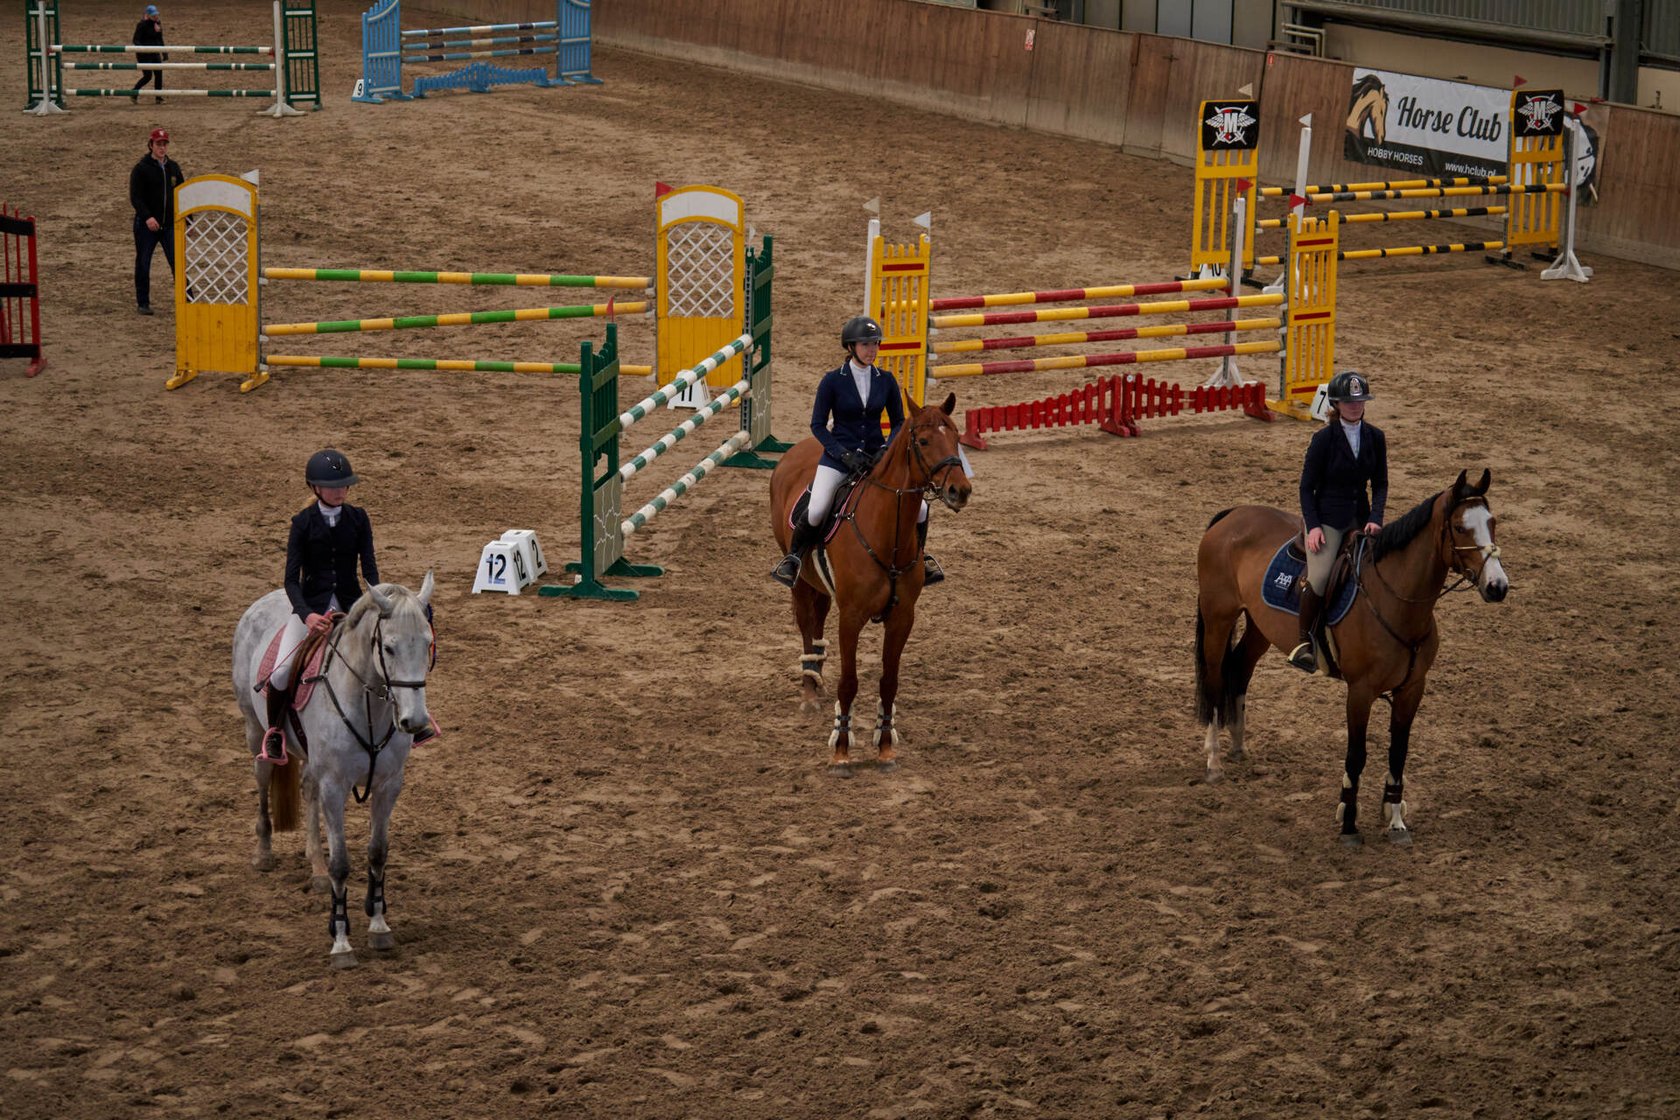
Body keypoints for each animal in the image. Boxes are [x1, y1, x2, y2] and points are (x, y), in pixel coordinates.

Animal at [232, 574, 435, 967]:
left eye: (427, 644)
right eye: (388, 648)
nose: (415, 722)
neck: (369, 706)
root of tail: (265, 600)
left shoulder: (389, 785)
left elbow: (378, 851)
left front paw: (378, 924)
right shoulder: (335, 786)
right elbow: (341, 862)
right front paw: (341, 941)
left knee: (307, 789)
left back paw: (316, 867)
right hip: (256, 730)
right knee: (262, 777)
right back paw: (263, 852)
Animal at [769, 393, 972, 775]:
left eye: (956, 437)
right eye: (924, 441)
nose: (960, 490)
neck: (886, 532)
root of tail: (799, 448)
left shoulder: (902, 617)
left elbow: (889, 681)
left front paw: (886, 746)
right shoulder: (851, 618)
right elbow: (849, 682)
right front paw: (841, 751)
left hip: (821, 585)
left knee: (817, 620)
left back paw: (817, 676)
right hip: (799, 578)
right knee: (806, 625)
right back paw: (809, 691)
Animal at [1194, 470, 1508, 844]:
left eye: (1492, 522)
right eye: (1460, 528)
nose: (1498, 586)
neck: (1394, 599)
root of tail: (1233, 514)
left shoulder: (1412, 689)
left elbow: (1398, 752)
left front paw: (1396, 820)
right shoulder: (1360, 692)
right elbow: (1356, 755)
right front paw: (1348, 822)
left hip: (1259, 626)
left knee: (1240, 668)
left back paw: (1239, 747)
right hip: (1219, 618)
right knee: (1215, 680)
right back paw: (1214, 761)